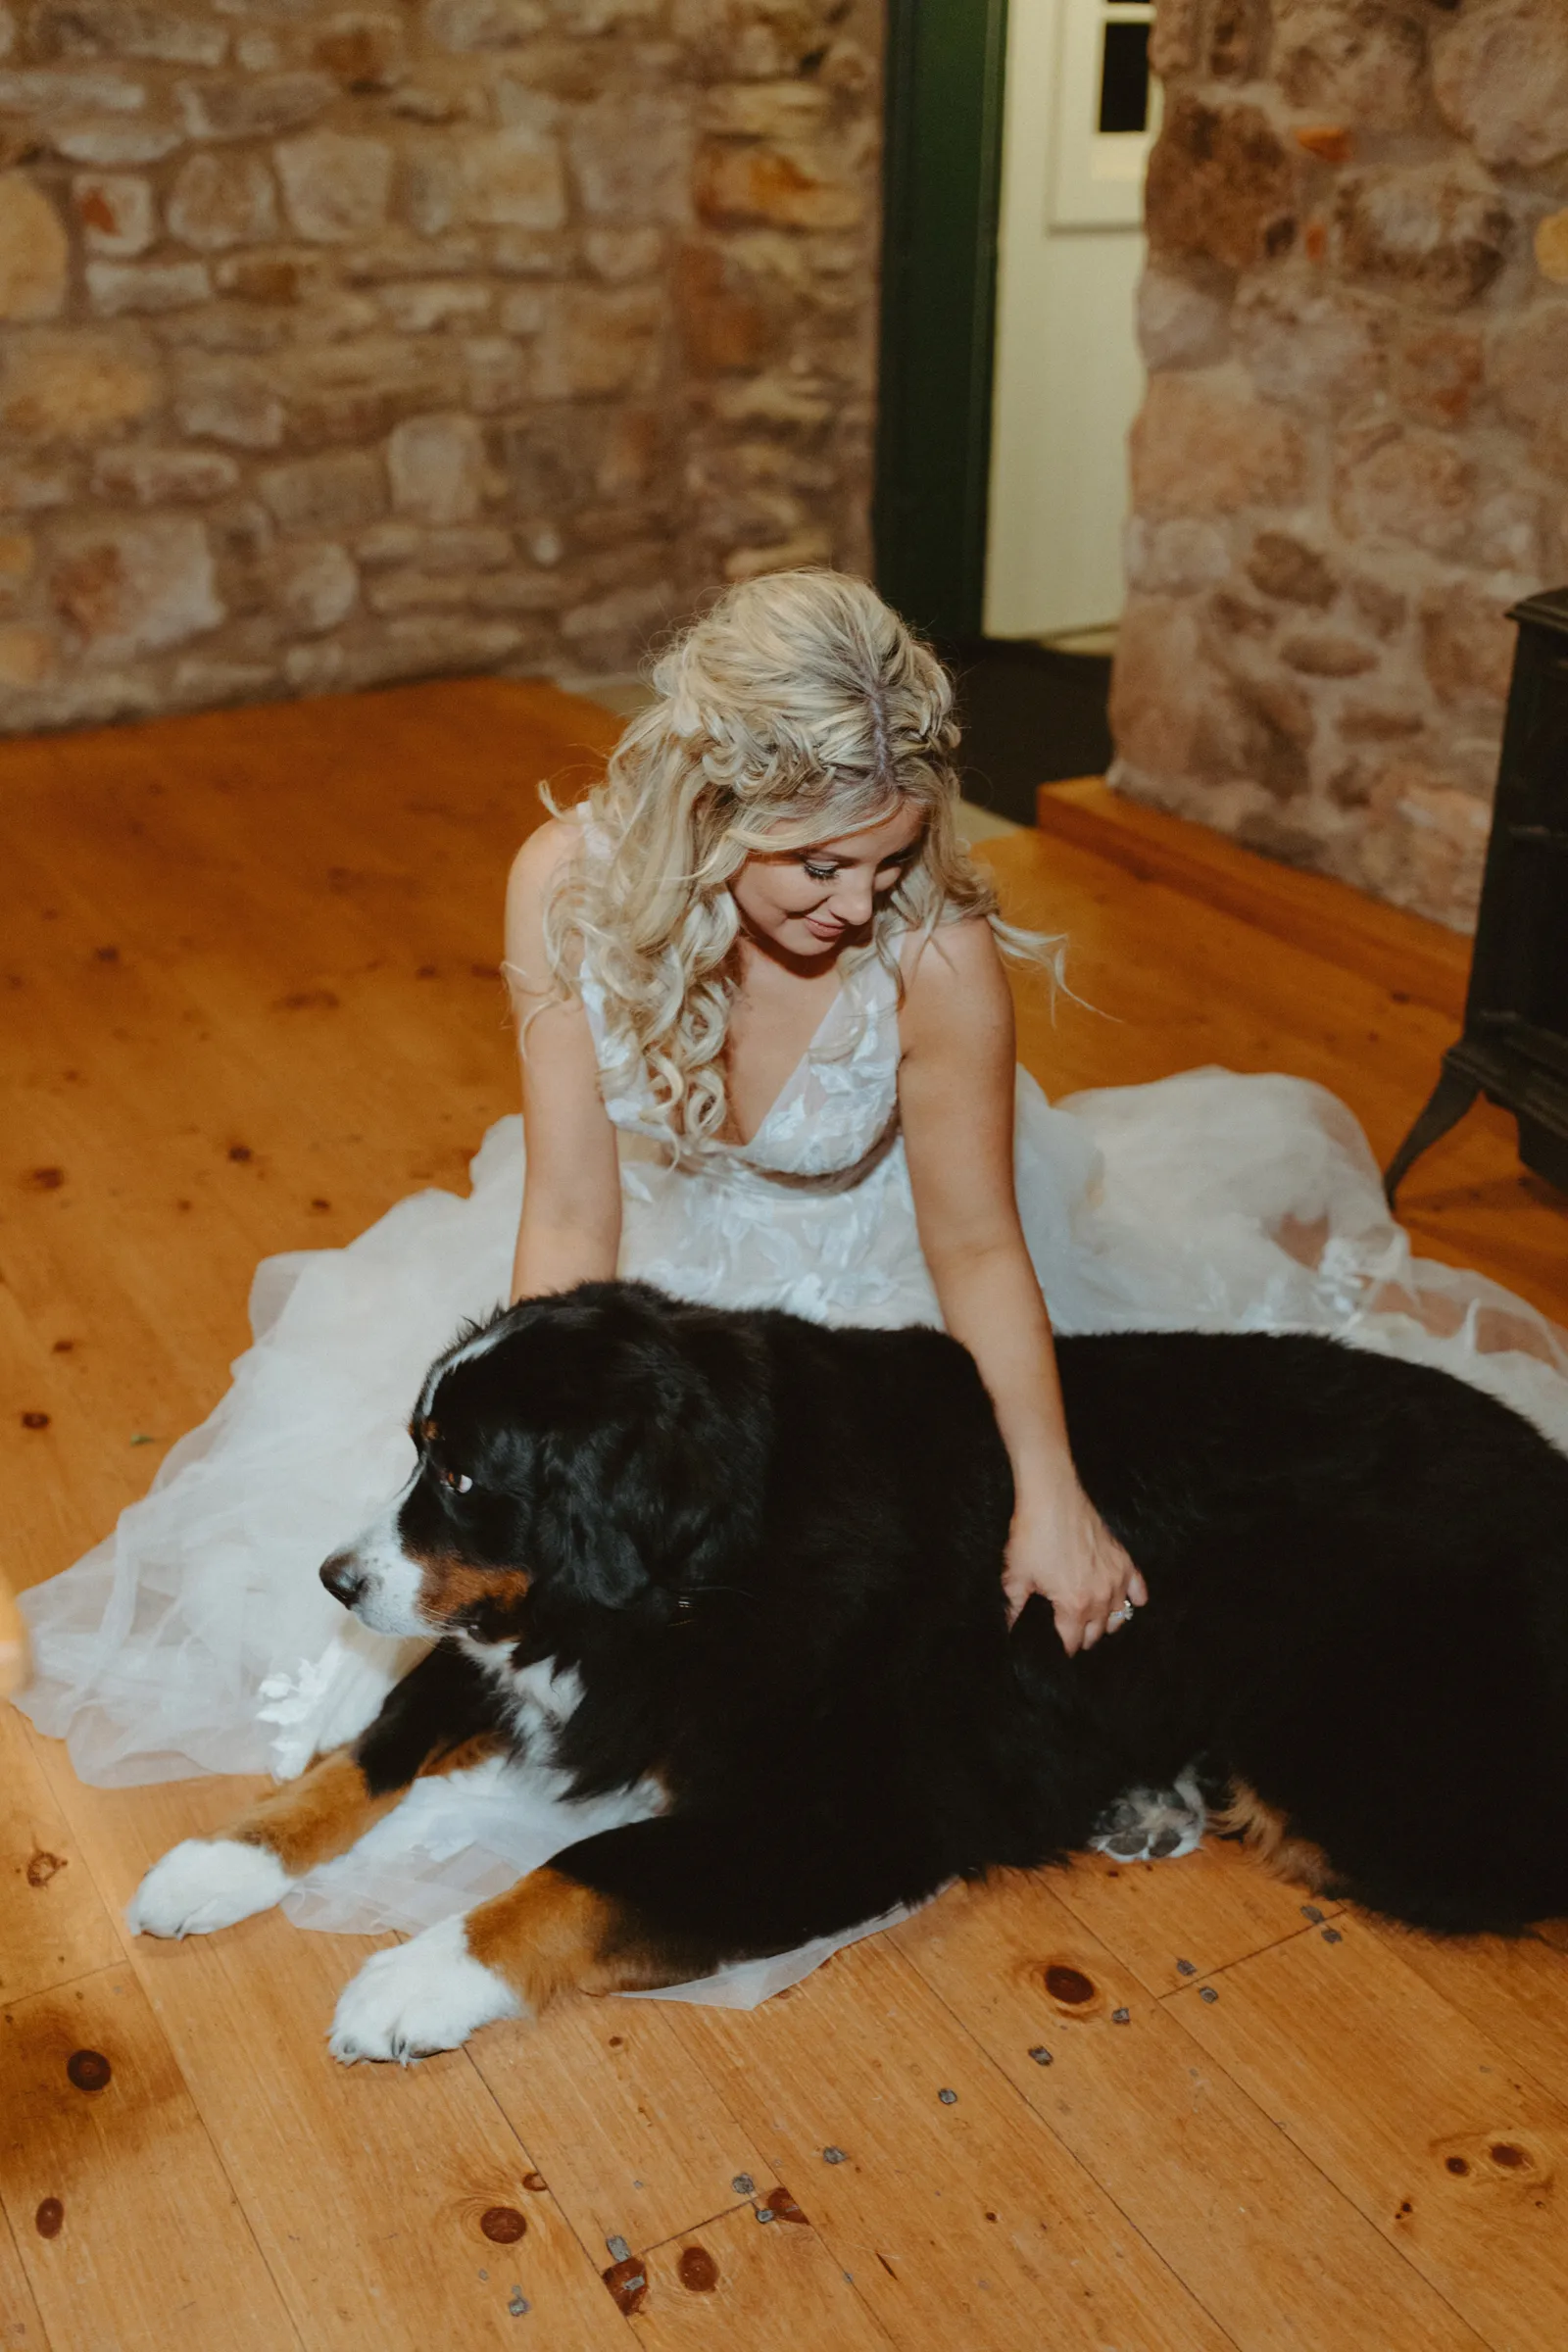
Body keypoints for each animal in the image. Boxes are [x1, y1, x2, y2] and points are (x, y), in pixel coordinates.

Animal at [128, 1279, 1568, 2070]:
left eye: (468, 1479)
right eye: (419, 1452)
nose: (337, 1579)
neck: (702, 1568)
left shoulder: (849, 1811)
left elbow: (580, 1872)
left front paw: (417, 1980)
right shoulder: (521, 1652)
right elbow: (361, 1756)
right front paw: (221, 1863)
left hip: (1358, 1762)